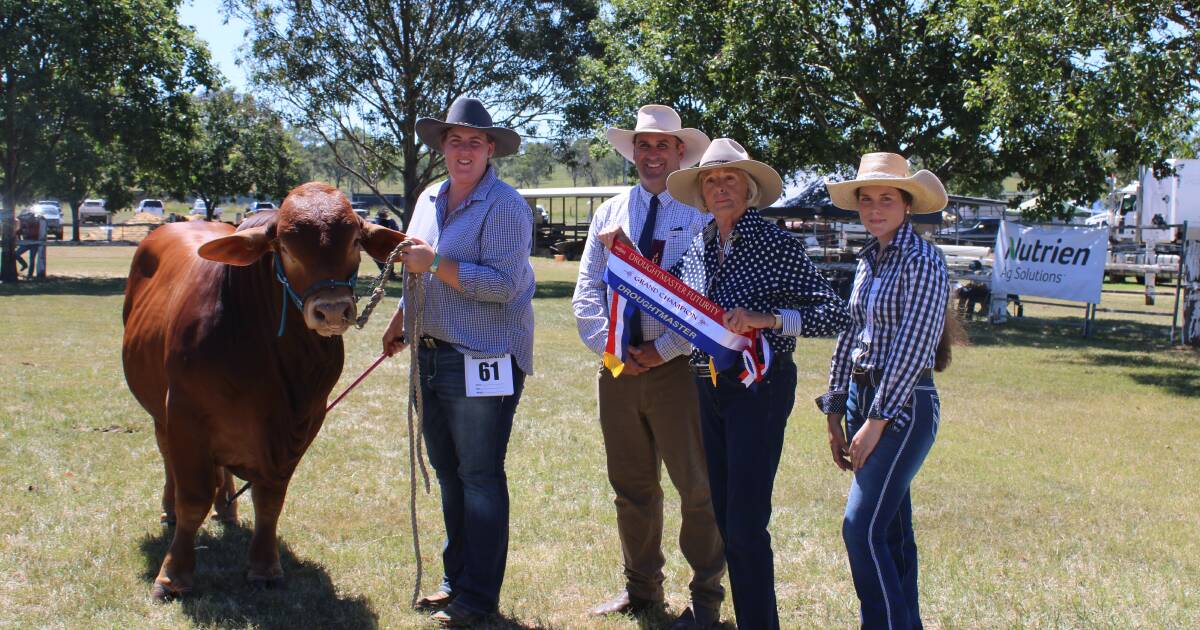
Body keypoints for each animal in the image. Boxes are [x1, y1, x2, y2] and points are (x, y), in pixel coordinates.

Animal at [122, 180, 405, 595]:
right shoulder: (184, 415)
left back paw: (227, 505)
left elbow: (270, 498)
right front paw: (174, 573)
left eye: (355, 240)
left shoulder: (303, 422)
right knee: (168, 458)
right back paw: (170, 507)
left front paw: (265, 565)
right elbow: (193, 499)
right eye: (284, 246)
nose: (332, 311)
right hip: (160, 411)